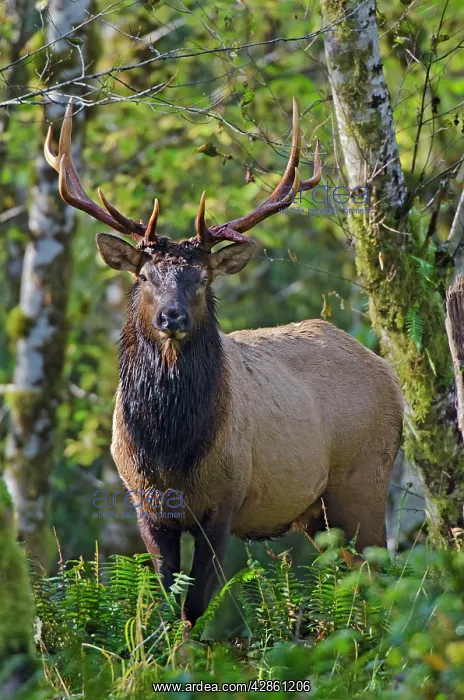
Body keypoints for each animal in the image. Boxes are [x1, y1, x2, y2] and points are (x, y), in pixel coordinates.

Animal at [45, 98, 404, 626]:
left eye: (202, 278)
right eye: (146, 276)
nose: (172, 316)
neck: (168, 451)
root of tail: (393, 379)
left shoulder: (226, 501)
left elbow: (195, 606)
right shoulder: (145, 507)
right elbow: (170, 601)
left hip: (363, 479)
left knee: (387, 573)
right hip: (318, 514)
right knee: (359, 579)